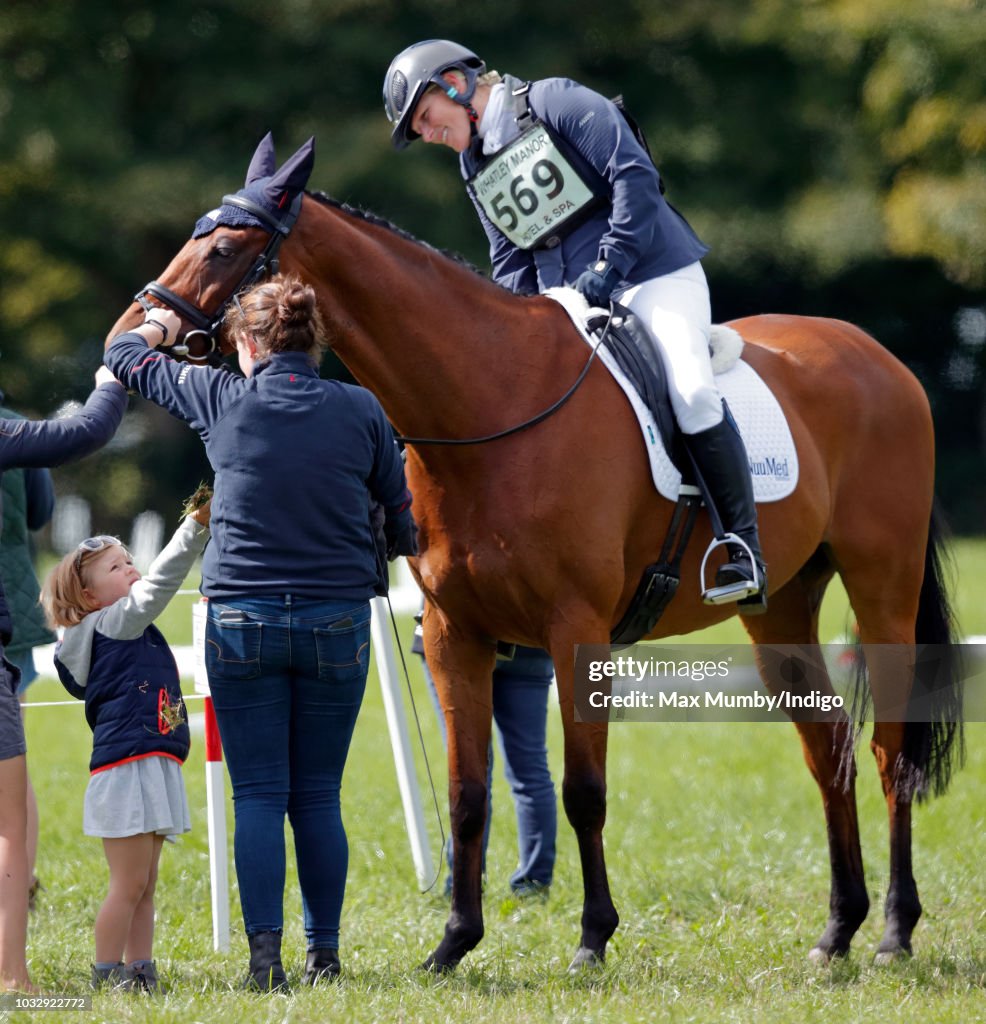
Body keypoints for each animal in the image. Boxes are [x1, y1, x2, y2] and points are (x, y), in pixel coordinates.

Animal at [108, 140, 962, 970]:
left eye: (223, 248)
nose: (132, 334)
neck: (488, 403)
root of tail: (878, 357)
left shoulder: (576, 631)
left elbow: (582, 789)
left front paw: (592, 938)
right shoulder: (455, 635)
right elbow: (468, 793)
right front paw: (453, 942)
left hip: (882, 590)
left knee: (888, 750)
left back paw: (894, 931)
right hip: (778, 608)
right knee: (830, 749)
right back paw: (838, 931)